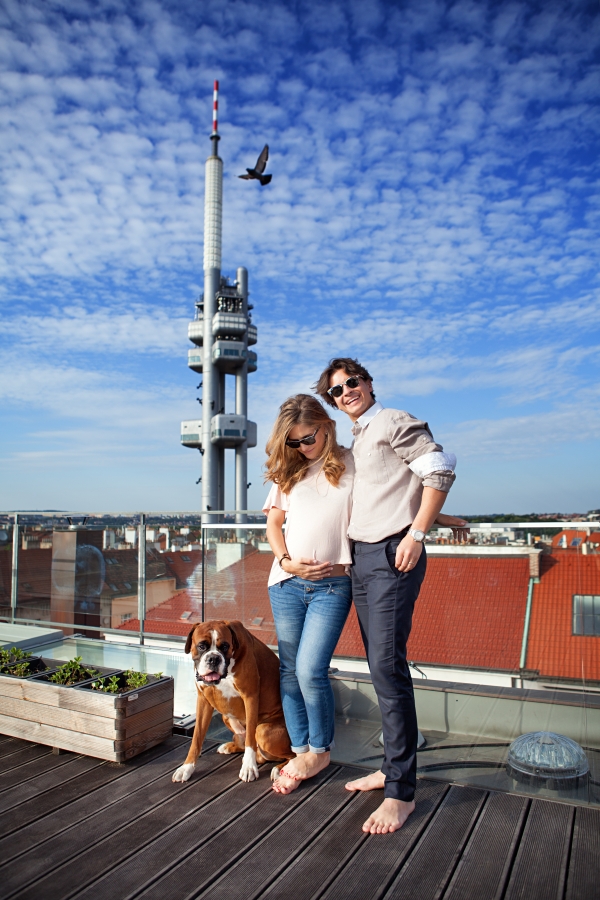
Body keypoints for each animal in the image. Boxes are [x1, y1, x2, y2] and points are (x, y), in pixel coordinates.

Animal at [172, 619, 293, 783]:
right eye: (202, 646)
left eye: (225, 646)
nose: (214, 658)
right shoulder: (203, 701)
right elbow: (196, 738)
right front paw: (187, 767)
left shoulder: (250, 697)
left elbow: (250, 738)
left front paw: (248, 767)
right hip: (226, 716)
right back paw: (230, 746)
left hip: (264, 731)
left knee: (292, 754)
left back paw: (279, 769)